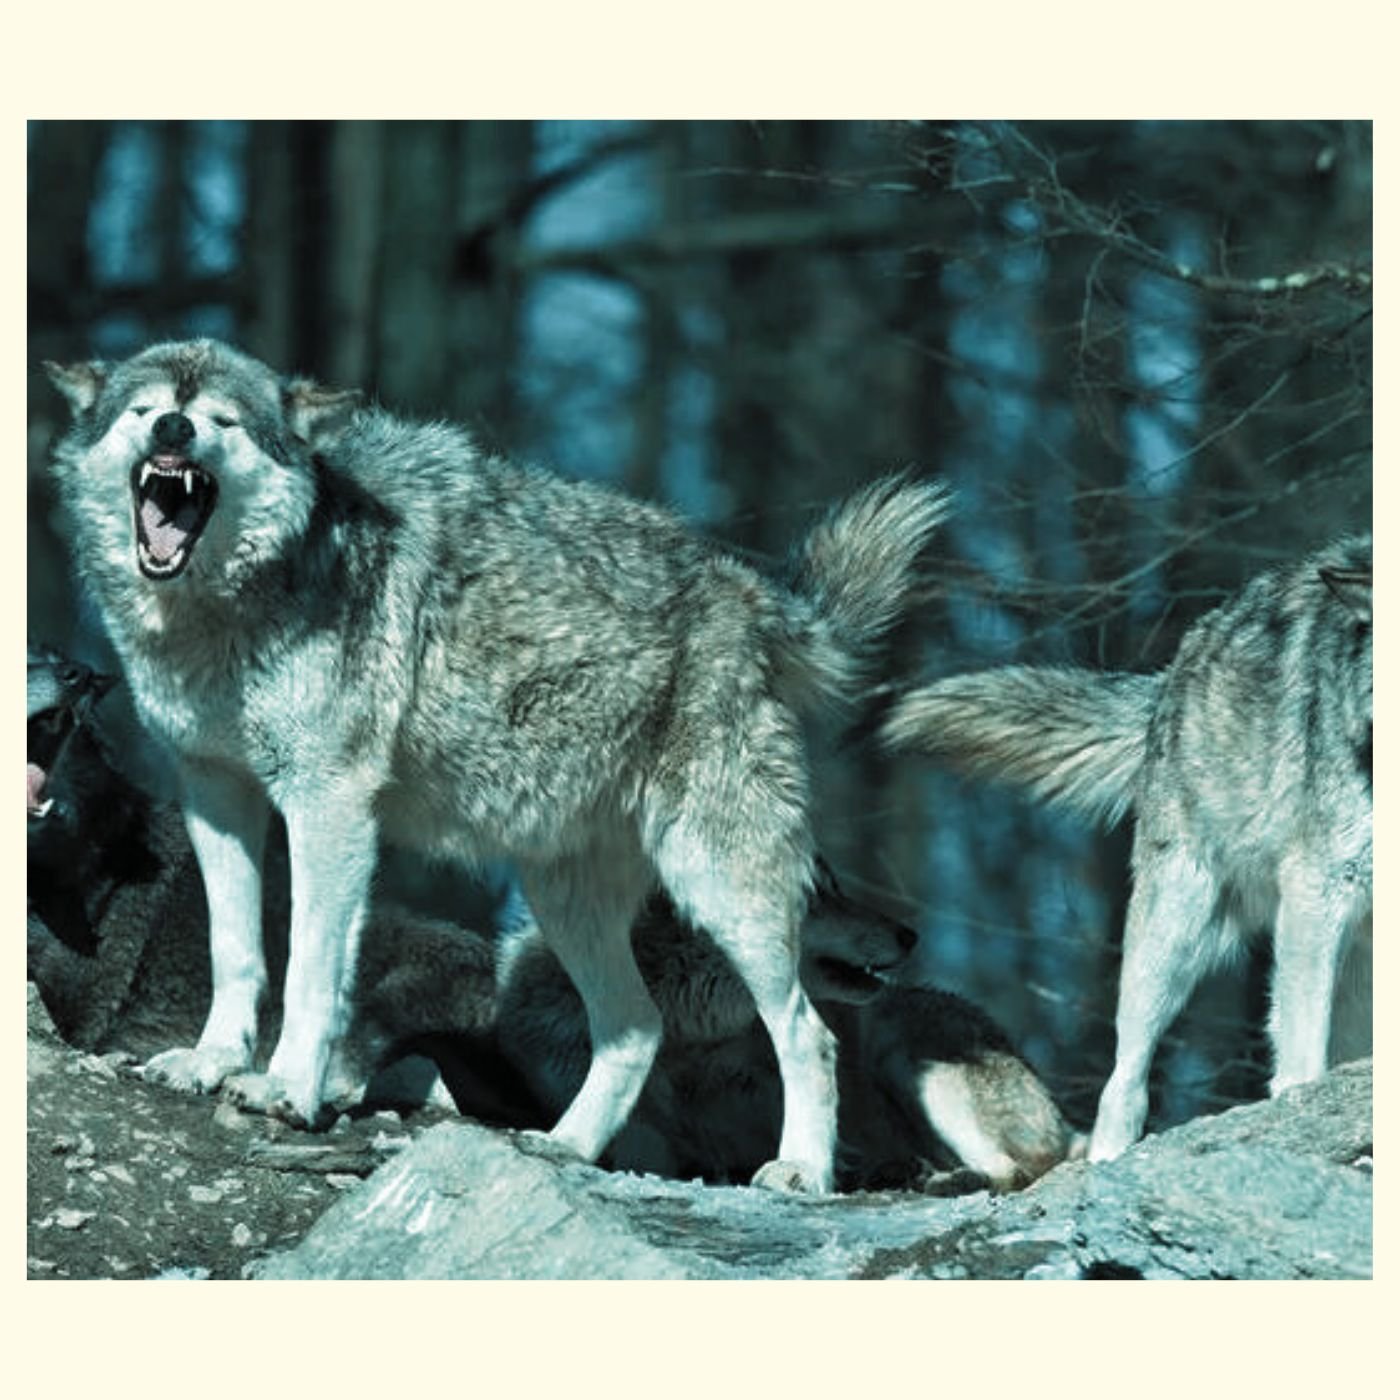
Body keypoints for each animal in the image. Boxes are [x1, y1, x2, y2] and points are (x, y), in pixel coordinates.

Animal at [45, 338, 949, 1192]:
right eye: (146, 409)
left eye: (222, 420)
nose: (173, 430)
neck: (227, 608)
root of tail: (751, 593)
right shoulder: (215, 792)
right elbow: (235, 950)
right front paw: (210, 1063)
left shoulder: (328, 803)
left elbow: (310, 967)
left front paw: (286, 1088)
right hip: (565, 899)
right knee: (637, 1028)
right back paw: (565, 1148)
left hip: (723, 891)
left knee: (807, 1034)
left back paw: (802, 1171)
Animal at [498, 859, 1081, 1191]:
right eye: (815, 893)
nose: (910, 935)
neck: (689, 1038)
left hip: (906, 1056)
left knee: (1012, 1172)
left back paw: (938, 1178)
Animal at [882, 536, 1373, 1160]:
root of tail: (1172, 672)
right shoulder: (1317, 887)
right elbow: (1302, 1050)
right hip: (1174, 938)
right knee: (1123, 1081)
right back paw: (1109, 1156)